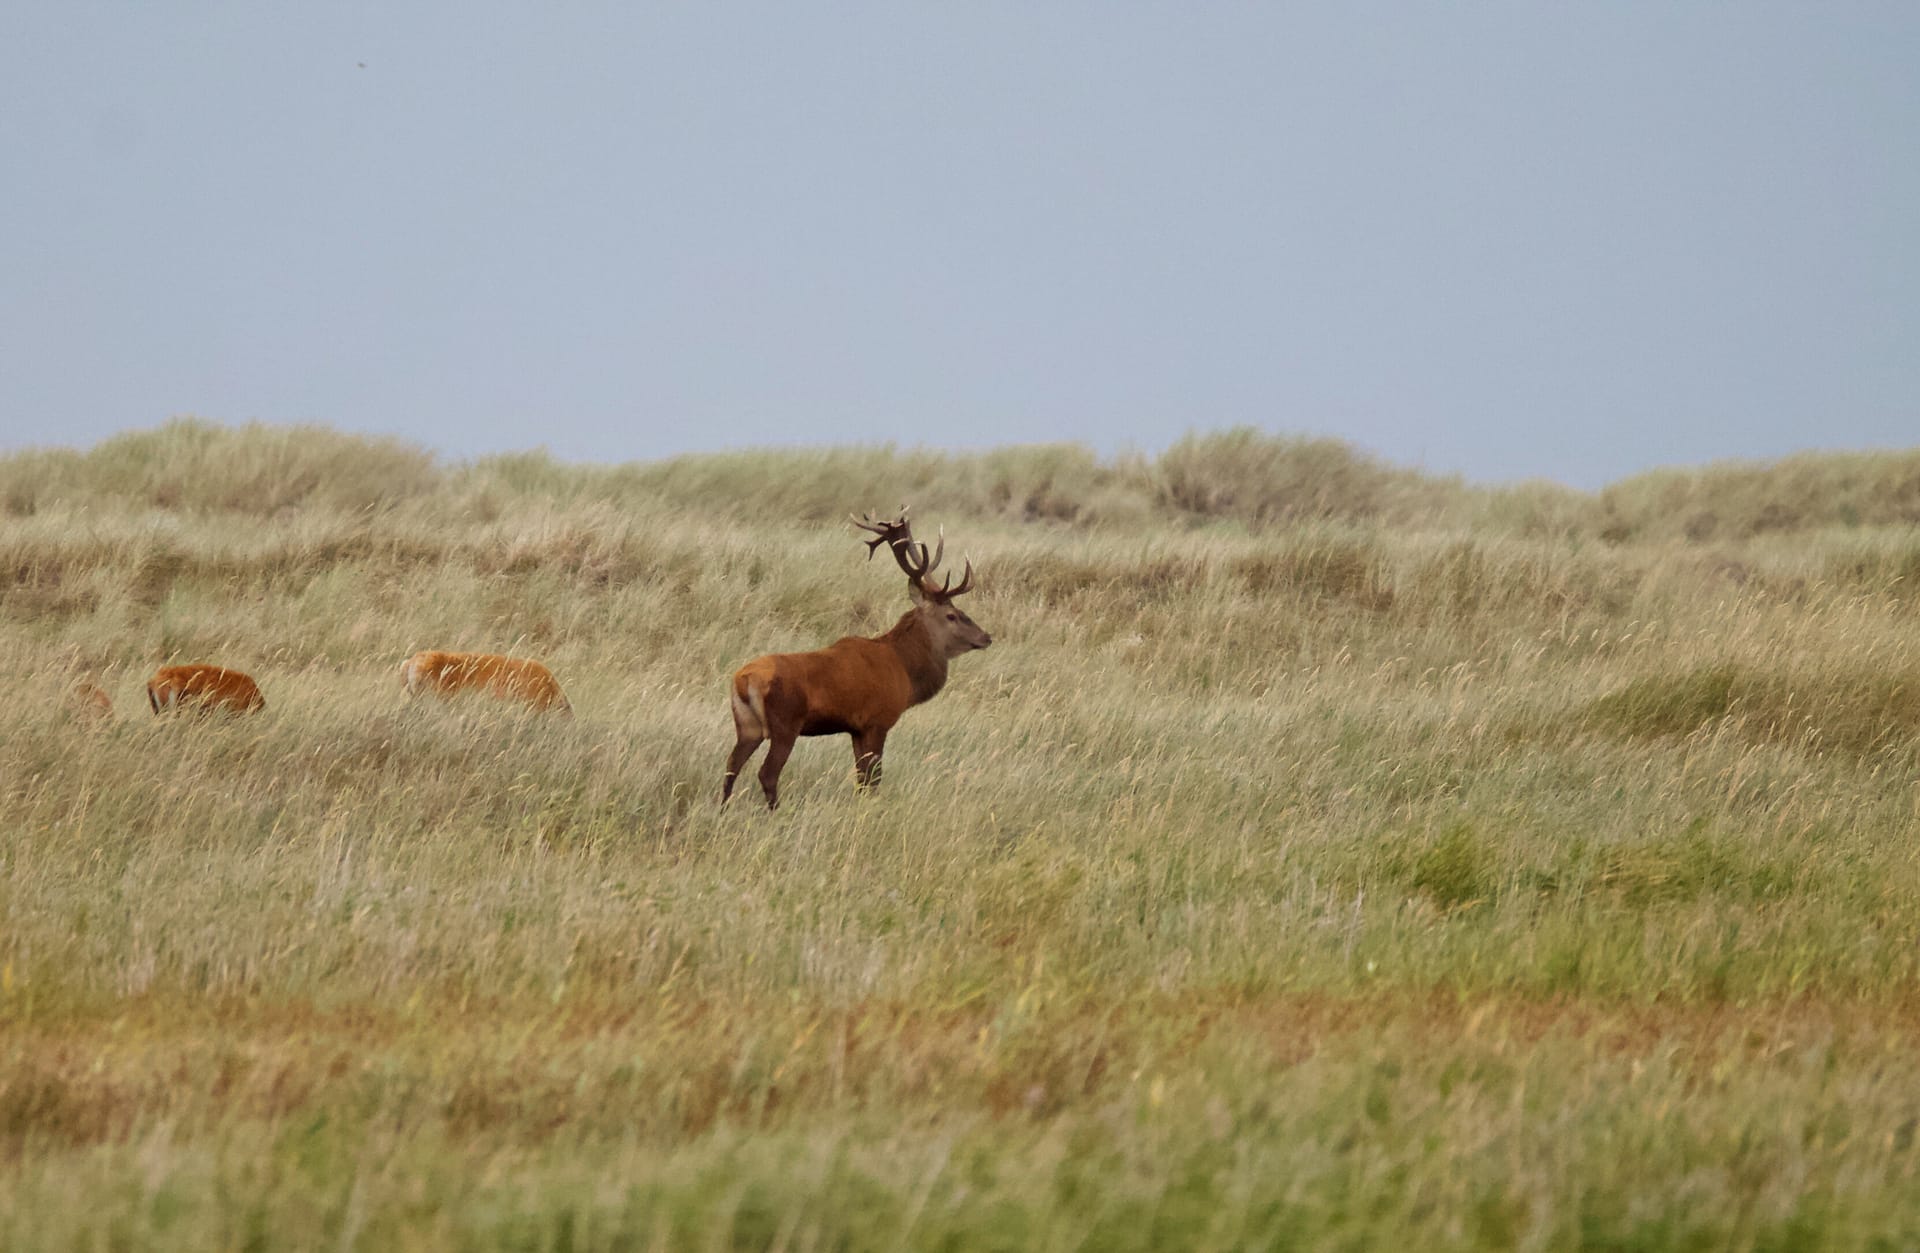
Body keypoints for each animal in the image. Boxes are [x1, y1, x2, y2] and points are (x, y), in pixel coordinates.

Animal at [723, 508, 992, 808]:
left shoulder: (856, 728)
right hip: (785, 722)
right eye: (952, 615)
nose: (986, 637)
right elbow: (873, 778)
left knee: (731, 766)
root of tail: (743, 680)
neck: (905, 671)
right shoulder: (878, 720)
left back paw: (723, 810)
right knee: (767, 773)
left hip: (747, 724)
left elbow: (861, 778)